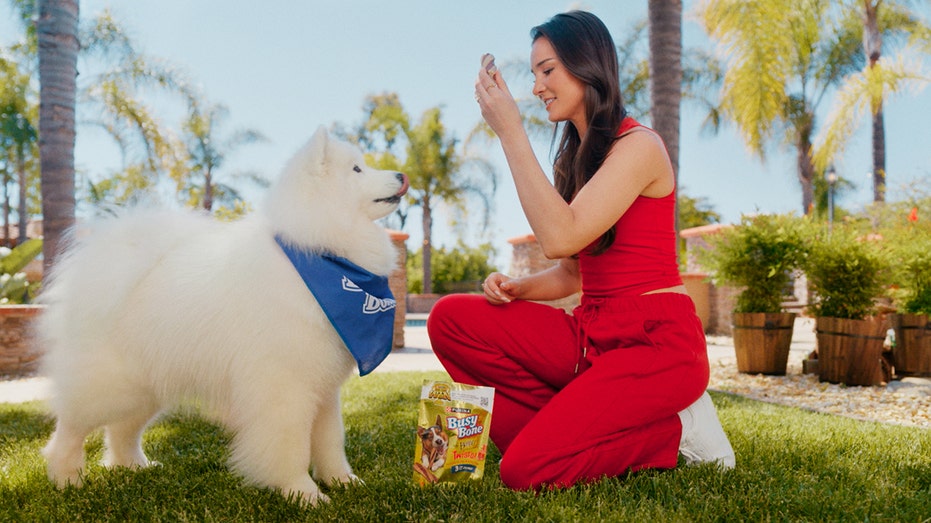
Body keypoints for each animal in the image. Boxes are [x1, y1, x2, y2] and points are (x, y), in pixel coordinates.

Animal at [40, 125, 410, 506]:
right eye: (357, 170)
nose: (402, 175)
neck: (324, 258)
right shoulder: (286, 387)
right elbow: (292, 447)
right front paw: (302, 493)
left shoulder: (322, 388)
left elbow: (331, 441)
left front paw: (342, 481)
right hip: (110, 386)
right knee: (70, 429)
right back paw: (67, 479)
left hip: (145, 387)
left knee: (121, 430)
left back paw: (133, 466)